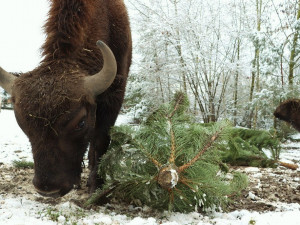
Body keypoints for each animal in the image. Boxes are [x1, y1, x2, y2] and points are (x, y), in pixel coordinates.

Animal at [0, 0, 131, 197]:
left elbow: (100, 140)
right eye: (22, 123)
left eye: (81, 123)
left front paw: (96, 188)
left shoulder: (114, 97)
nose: (48, 189)